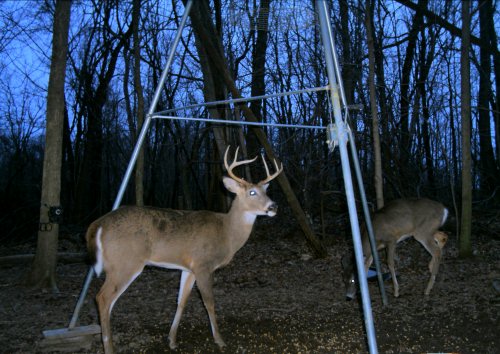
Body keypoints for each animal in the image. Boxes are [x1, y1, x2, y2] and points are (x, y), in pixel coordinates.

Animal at [86, 145, 282, 352]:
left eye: (265, 190)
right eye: (252, 192)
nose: (273, 206)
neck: (226, 233)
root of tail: (98, 224)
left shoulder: (188, 268)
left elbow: (181, 301)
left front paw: (172, 340)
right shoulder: (204, 264)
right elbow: (209, 302)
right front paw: (219, 339)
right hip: (125, 263)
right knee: (103, 298)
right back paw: (109, 348)